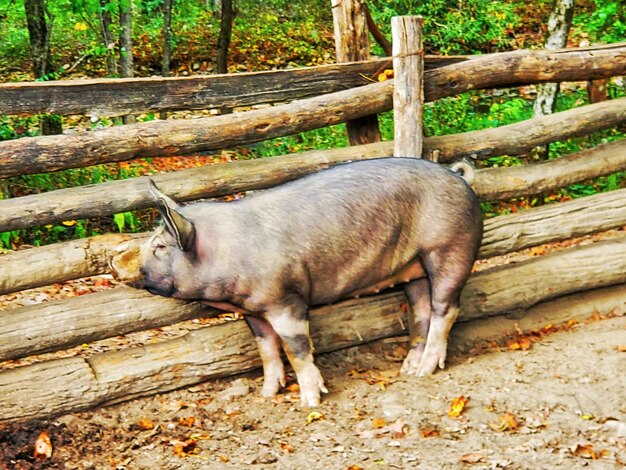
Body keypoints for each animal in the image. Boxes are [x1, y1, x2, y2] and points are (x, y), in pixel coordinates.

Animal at [122, 159, 482, 408]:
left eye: (160, 246)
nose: (116, 261)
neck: (225, 252)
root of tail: (459, 176)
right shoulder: (252, 309)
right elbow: (266, 348)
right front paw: (267, 394)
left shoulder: (285, 298)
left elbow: (295, 348)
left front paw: (310, 401)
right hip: (414, 268)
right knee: (421, 308)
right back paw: (408, 369)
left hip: (450, 248)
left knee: (445, 308)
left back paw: (425, 371)